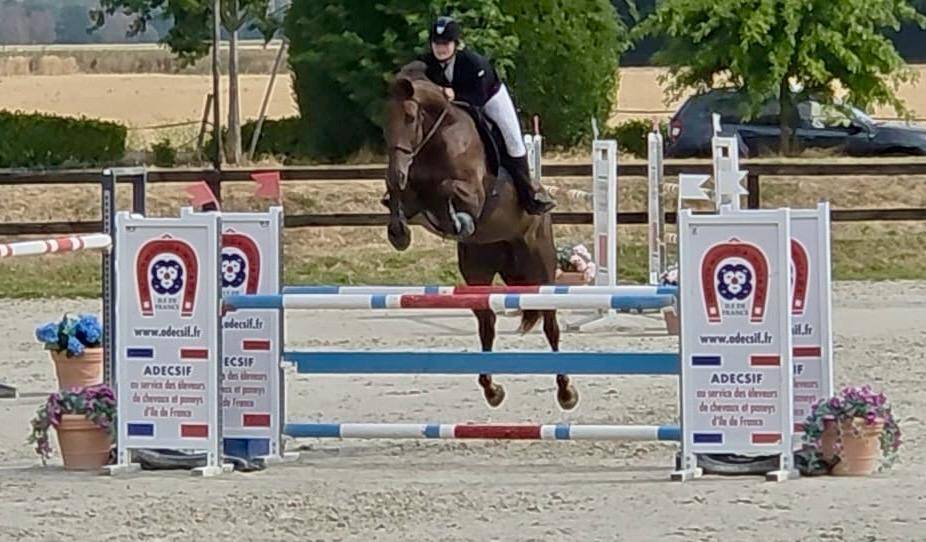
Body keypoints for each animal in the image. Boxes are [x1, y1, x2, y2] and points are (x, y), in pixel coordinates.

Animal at [382, 61, 578, 410]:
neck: (435, 139)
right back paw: (492, 389)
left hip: (540, 267)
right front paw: (399, 232)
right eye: (384, 121)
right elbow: (399, 195)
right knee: (487, 323)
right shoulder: (412, 191)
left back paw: (566, 391)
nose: (397, 169)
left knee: (550, 325)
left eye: (410, 117)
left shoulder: (474, 192)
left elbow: (449, 190)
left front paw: (458, 221)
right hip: (477, 270)